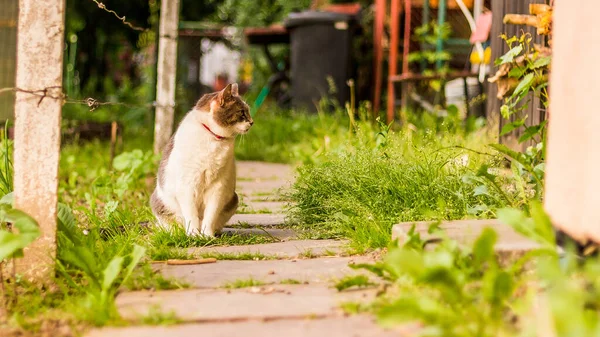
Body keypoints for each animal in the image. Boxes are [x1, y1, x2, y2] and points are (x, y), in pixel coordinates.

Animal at [151, 83, 254, 236]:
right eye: (242, 112)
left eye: (247, 111)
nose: (252, 122)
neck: (213, 139)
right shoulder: (187, 185)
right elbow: (191, 215)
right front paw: (194, 235)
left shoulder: (218, 188)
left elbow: (211, 215)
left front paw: (207, 236)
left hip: (233, 199)